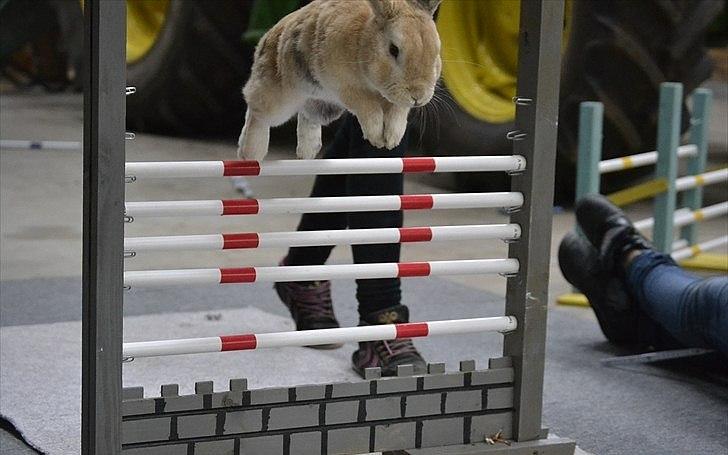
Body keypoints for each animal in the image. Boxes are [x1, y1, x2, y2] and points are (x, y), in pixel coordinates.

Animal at [239, 0, 444, 161]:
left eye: (437, 50)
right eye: (394, 50)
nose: (418, 96)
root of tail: (265, 39)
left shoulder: (395, 101)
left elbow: (398, 112)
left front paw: (392, 139)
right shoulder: (344, 88)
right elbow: (368, 107)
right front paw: (376, 138)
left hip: (321, 107)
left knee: (305, 116)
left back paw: (307, 152)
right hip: (279, 102)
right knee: (255, 109)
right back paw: (250, 153)